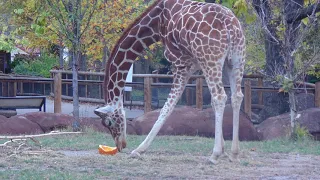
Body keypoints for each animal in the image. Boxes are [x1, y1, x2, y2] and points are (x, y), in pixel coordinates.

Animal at [94, 0, 246, 163]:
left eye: (108, 122)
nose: (121, 145)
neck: (157, 23)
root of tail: (230, 25)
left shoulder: (181, 64)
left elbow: (167, 107)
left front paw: (139, 150)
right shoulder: (198, 65)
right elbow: (210, 102)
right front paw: (224, 150)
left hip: (211, 59)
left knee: (220, 96)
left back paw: (214, 155)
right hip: (235, 59)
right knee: (236, 96)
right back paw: (234, 153)